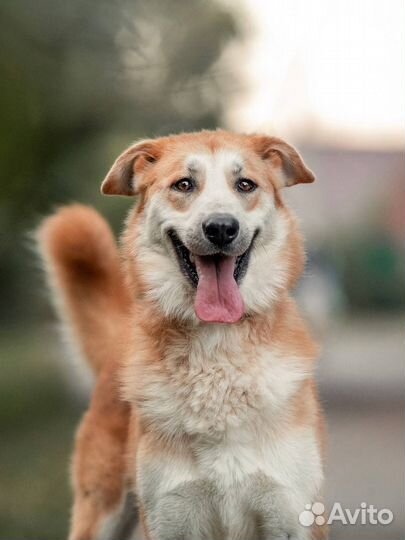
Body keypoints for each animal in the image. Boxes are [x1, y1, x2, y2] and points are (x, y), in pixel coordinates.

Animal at [38, 131, 326, 540]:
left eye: (245, 185)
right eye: (184, 185)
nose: (221, 228)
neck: (217, 352)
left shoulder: (288, 514)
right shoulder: (170, 516)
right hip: (101, 514)